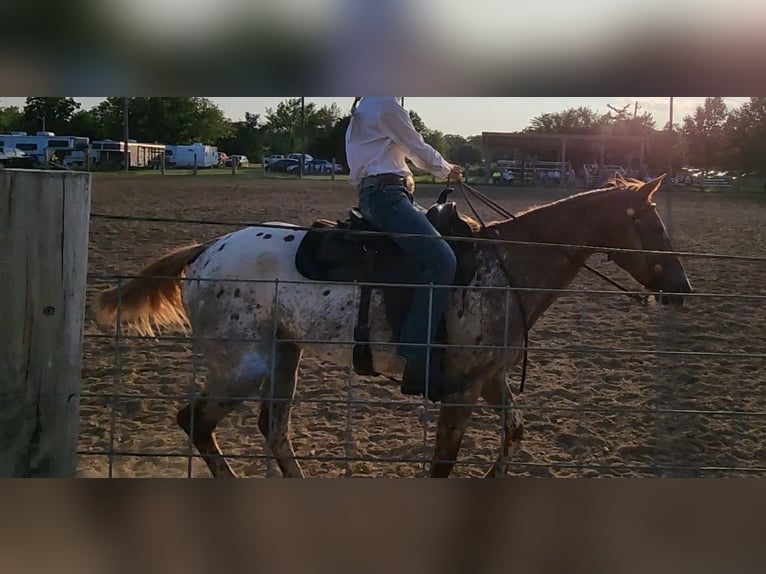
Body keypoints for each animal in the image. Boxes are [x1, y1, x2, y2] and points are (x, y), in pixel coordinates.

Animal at [93, 173, 692, 480]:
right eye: (650, 225)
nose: (682, 288)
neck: (505, 268)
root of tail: (207, 249)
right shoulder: (460, 390)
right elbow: (443, 464)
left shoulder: (490, 379)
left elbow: (514, 432)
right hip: (243, 364)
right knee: (196, 421)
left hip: (285, 354)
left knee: (273, 429)